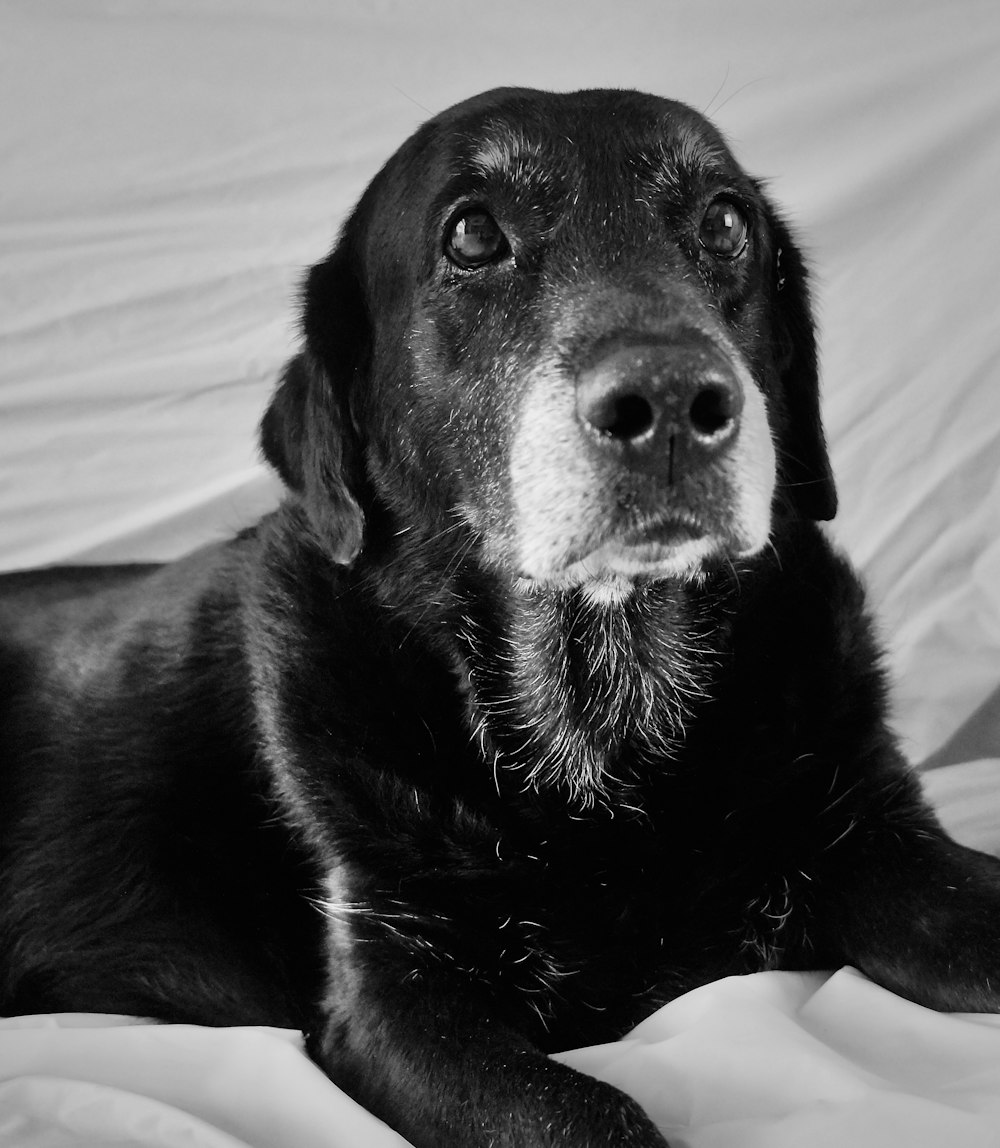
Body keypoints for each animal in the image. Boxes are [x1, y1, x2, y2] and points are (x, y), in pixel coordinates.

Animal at [1, 89, 1000, 1148]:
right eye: (473, 234)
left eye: (726, 223)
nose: (674, 401)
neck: (607, 718)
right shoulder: (400, 998)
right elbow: (591, 1115)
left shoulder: (884, 842)